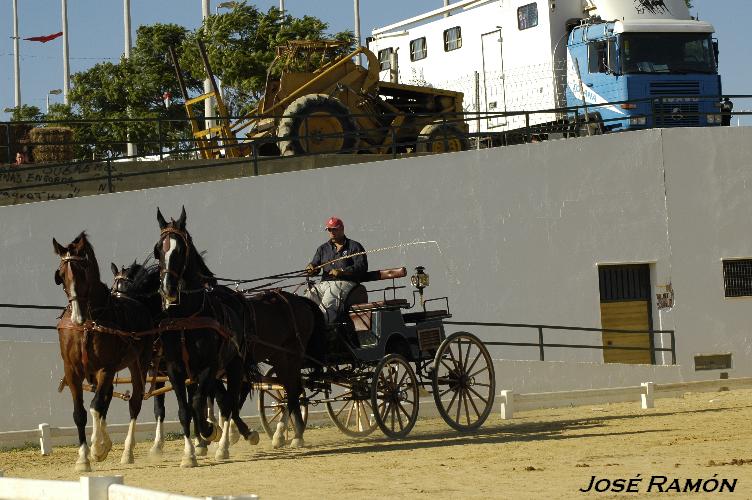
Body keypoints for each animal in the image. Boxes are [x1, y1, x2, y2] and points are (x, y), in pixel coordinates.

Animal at [53, 232, 155, 470]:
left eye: (83, 271)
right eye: (61, 275)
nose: (77, 317)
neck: (88, 324)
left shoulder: (105, 368)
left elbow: (96, 406)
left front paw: (97, 448)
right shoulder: (72, 371)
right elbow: (81, 413)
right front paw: (84, 458)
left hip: (139, 363)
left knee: (134, 402)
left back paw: (126, 452)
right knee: (107, 398)